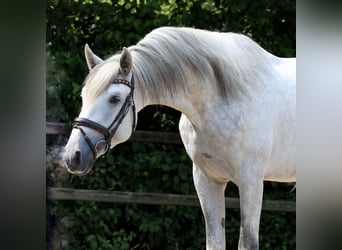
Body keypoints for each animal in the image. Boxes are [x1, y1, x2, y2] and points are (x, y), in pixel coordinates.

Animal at [60, 26, 294, 249]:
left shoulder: (251, 181)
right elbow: (214, 241)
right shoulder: (207, 180)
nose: (73, 156)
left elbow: (247, 242)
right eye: (83, 96)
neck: (224, 98)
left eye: (115, 99)